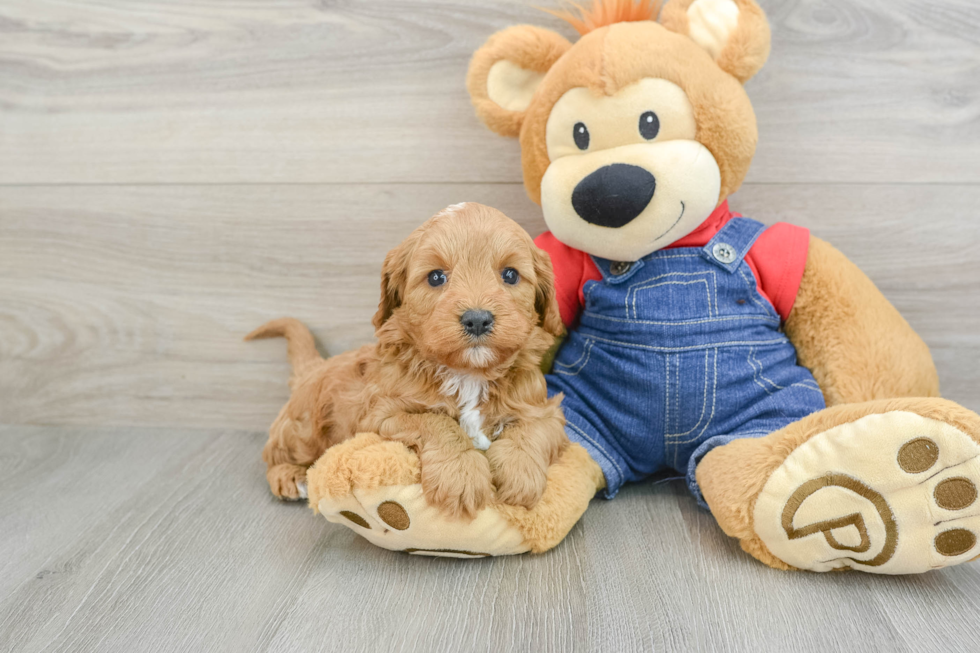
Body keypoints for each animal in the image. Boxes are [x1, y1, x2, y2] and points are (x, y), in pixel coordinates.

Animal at [247, 201, 568, 516]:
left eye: (510, 275)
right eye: (436, 277)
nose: (477, 319)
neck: (468, 374)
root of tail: (317, 366)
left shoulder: (544, 409)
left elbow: (533, 429)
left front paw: (521, 474)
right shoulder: (380, 414)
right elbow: (436, 422)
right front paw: (461, 475)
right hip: (303, 429)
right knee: (273, 453)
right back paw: (289, 476)